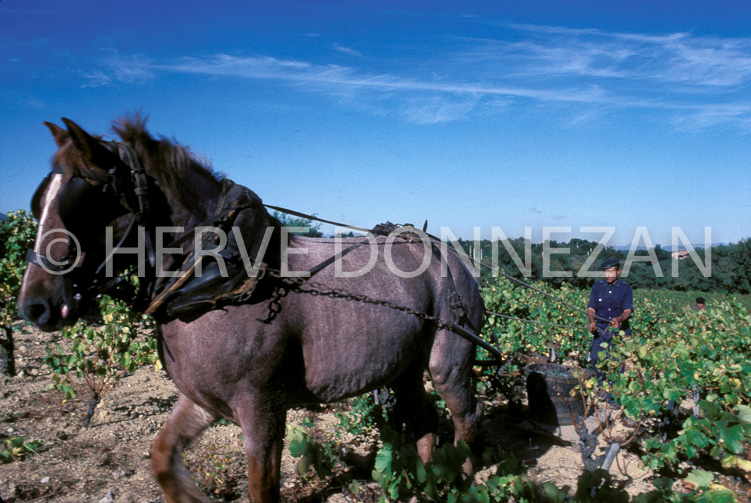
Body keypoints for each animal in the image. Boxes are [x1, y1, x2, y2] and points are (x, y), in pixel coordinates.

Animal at [20, 117, 488, 503]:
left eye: (85, 201)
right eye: (38, 201)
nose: (34, 306)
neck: (217, 282)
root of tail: (446, 252)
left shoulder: (261, 409)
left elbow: (262, 489)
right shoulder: (202, 399)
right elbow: (162, 457)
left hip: (449, 361)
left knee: (465, 418)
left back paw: (462, 481)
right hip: (404, 367)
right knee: (423, 418)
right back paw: (428, 483)